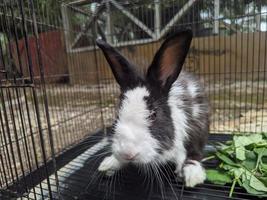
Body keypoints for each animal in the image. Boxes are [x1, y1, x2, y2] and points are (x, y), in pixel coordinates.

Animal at [95, 29, 210, 188]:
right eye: (117, 114)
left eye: (153, 114)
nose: (128, 153)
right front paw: (110, 163)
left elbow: (183, 154)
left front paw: (182, 172)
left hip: (199, 127)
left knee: (196, 152)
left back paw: (193, 174)